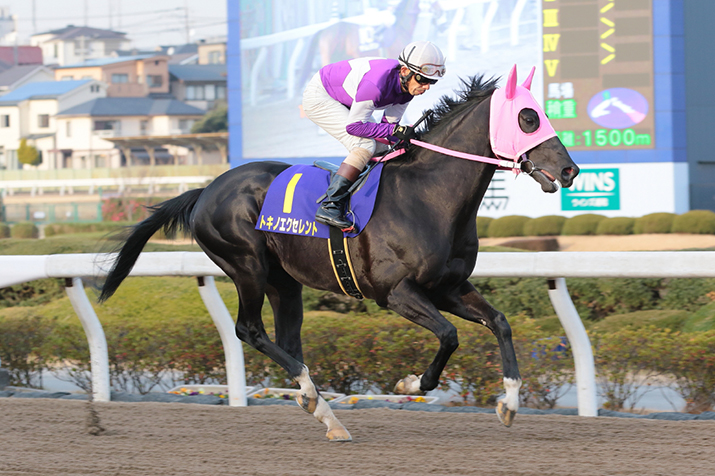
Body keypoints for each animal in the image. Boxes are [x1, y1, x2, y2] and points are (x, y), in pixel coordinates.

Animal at [100, 69, 580, 438]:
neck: (428, 196)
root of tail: (205, 190)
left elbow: (499, 323)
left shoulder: (447, 286)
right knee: (248, 330)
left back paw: (325, 414)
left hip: (283, 280)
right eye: (528, 117)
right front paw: (412, 383)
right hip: (246, 265)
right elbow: (448, 335)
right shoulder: (396, 292)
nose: (570, 169)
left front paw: (509, 404)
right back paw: (312, 395)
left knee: (286, 339)